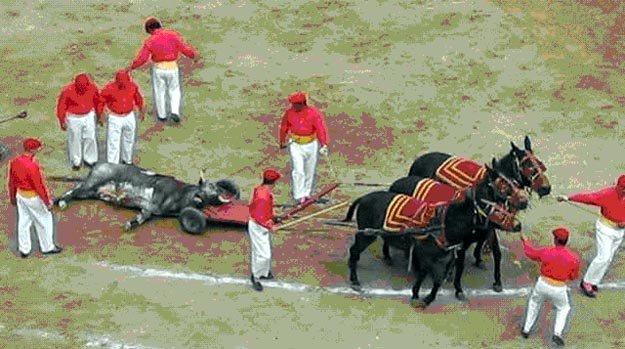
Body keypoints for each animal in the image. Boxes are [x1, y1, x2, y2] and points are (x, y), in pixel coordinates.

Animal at [52, 163, 239, 231]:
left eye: (214, 189)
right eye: (208, 187)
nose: (222, 192)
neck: (179, 195)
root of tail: (98, 165)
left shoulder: (149, 208)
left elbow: (142, 217)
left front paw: (130, 223)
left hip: (91, 191)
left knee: (75, 192)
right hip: (91, 183)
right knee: (71, 191)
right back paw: (58, 202)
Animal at [344, 164, 520, 306]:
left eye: (503, 199)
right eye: (494, 201)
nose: (517, 225)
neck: (444, 224)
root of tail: (364, 198)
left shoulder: (447, 254)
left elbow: (438, 279)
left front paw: (428, 297)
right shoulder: (433, 255)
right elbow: (430, 274)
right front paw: (418, 294)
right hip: (366, 235)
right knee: (354, 251)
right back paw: (355, 280)